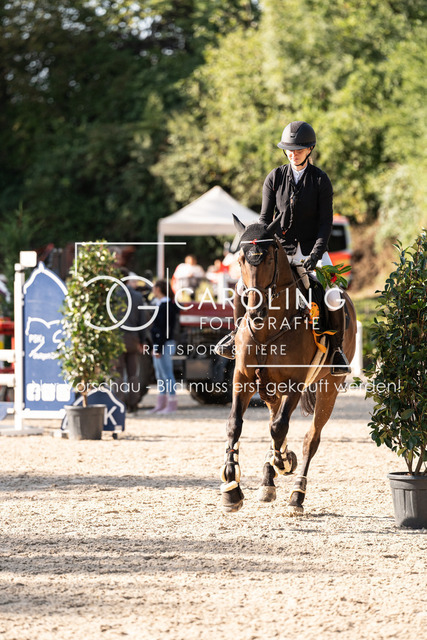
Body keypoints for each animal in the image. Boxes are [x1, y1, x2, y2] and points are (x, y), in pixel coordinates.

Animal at [220, 217, 357, 514]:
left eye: (270, 258)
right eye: (240, 260)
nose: (255, 312)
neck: (267, 329)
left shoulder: (295, 382)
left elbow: (279, 428)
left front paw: (284, 462)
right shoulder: (242, 378)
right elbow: (235, 424)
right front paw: (231, 488)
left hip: (328, 388)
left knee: (310, 438)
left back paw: (296, 493)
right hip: (270, 388)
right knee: (273, 419)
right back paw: (269, 478)